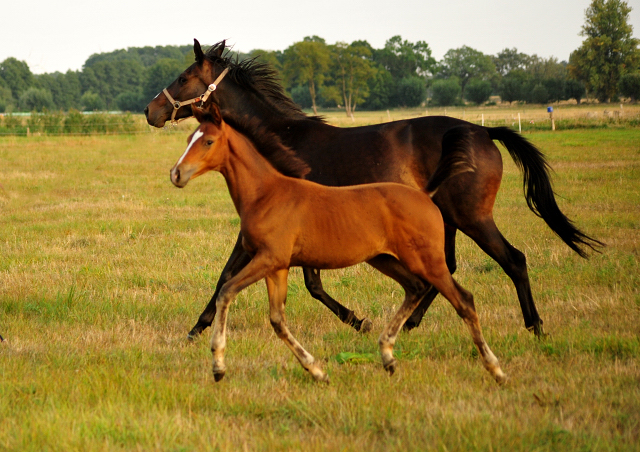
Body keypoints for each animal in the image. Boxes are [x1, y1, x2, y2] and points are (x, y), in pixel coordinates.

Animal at [144, 40, 600, 340]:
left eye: (184, 77)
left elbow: (300, 283)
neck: (280, 143)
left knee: (513, 260)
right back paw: (411, 323)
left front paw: (356, 320)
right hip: (445, 219)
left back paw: (535, 327)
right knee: (446, 268)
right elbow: (238, 274)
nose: (151, 111)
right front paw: (197, 328)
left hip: (472, 216)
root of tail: (483, 130)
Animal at [169, 102, 504, 384]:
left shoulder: (269, 259)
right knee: (415, 288)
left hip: (427, 260)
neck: (267, 193)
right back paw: (387, 356)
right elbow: (277, 319)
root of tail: (424, 194)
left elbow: (226, 291)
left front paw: (218, 365)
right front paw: (316, 370)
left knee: (463, 300)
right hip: (384, 258)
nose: (176, 173)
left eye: (208, 141)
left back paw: (495, 369)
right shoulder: (277, 267)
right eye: (188, 138)